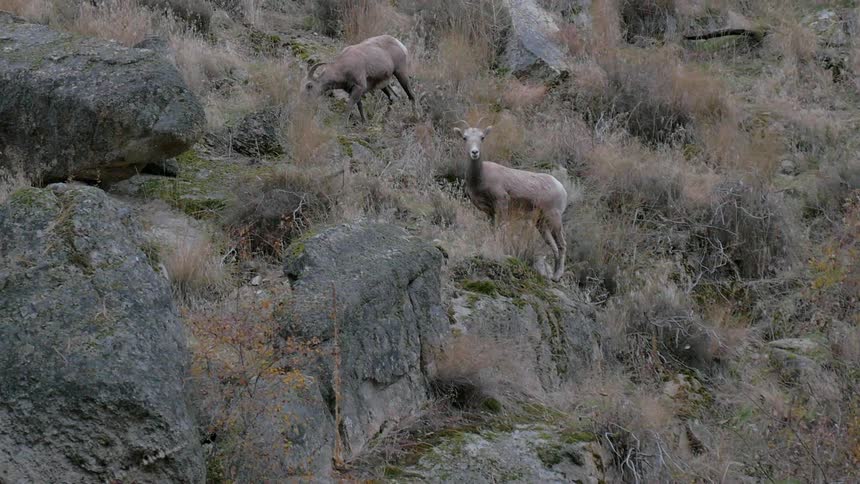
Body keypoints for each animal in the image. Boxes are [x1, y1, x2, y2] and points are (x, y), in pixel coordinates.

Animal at [453, 121, 569, 281]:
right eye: (465, 138)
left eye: (482, 137)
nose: (474, 152)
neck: (480, 178)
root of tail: (561, 188)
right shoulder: (490, 212)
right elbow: (492, 231)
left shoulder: (501, 204)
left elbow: (500, 230)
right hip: (541, 224)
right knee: (553, 246)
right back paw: (552, 276)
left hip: (554, 218)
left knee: (562, 244)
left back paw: (557, 276)